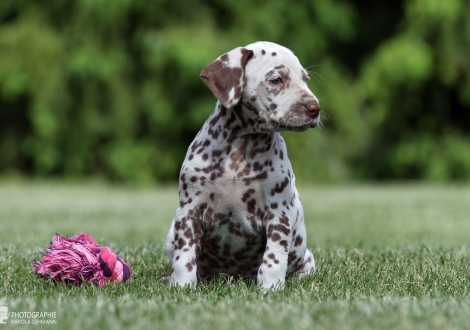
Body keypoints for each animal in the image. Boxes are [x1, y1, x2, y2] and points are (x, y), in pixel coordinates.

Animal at [163, 41, 322, 292]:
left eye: (305, 79)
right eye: (277, 80)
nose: (315, 108)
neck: (239, 150)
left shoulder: (279, 215)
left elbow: (273, 259)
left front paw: (270, 288)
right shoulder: (189, 211)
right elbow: (184, 256)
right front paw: (181, 286)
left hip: (305, 256)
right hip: (171, 235)